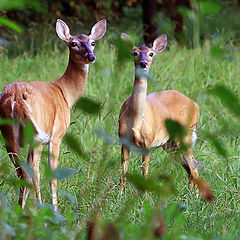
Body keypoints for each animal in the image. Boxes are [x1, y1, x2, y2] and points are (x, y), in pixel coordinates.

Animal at [0, 18, 107, 210]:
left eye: (93, 42)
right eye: (74, 43)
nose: (91, 56)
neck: (65, 92)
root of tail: (17, 96)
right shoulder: (56, 135)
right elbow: (53, 174)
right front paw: (55, 208)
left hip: (8, 136)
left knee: (22, 172)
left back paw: (21, 209)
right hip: (36, 134)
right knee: (33, 172)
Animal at [118, 32, 214, 200]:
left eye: (151, 53)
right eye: (135, 53)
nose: (143, 63)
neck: (135, 119)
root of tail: (195, 104)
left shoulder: (148, 143)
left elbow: (144, 172)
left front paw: (144, 198)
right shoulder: (123, 141)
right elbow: (123, 172)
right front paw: (119, 197)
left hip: (185, 135)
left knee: (193, 167)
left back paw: (195, 197)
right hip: (171, 144)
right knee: (191, 166)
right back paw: (190, 194)